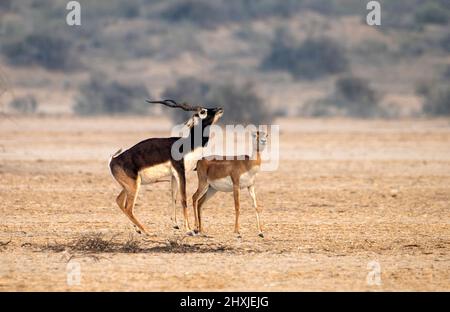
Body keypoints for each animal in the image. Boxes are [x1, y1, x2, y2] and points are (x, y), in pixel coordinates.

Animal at [107, 99, 223, 234]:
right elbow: (183, 199)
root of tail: (113, 160)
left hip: (128, 186)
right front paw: (188, 229)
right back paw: (147, 231)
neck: (187, 145)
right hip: (134, 186)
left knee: (119, 201)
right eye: (202, 111)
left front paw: (176, 224)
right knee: (128, 207)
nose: (219, 109)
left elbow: (174, 198)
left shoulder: (173, 176)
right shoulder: (180, 171)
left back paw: (139, 229)